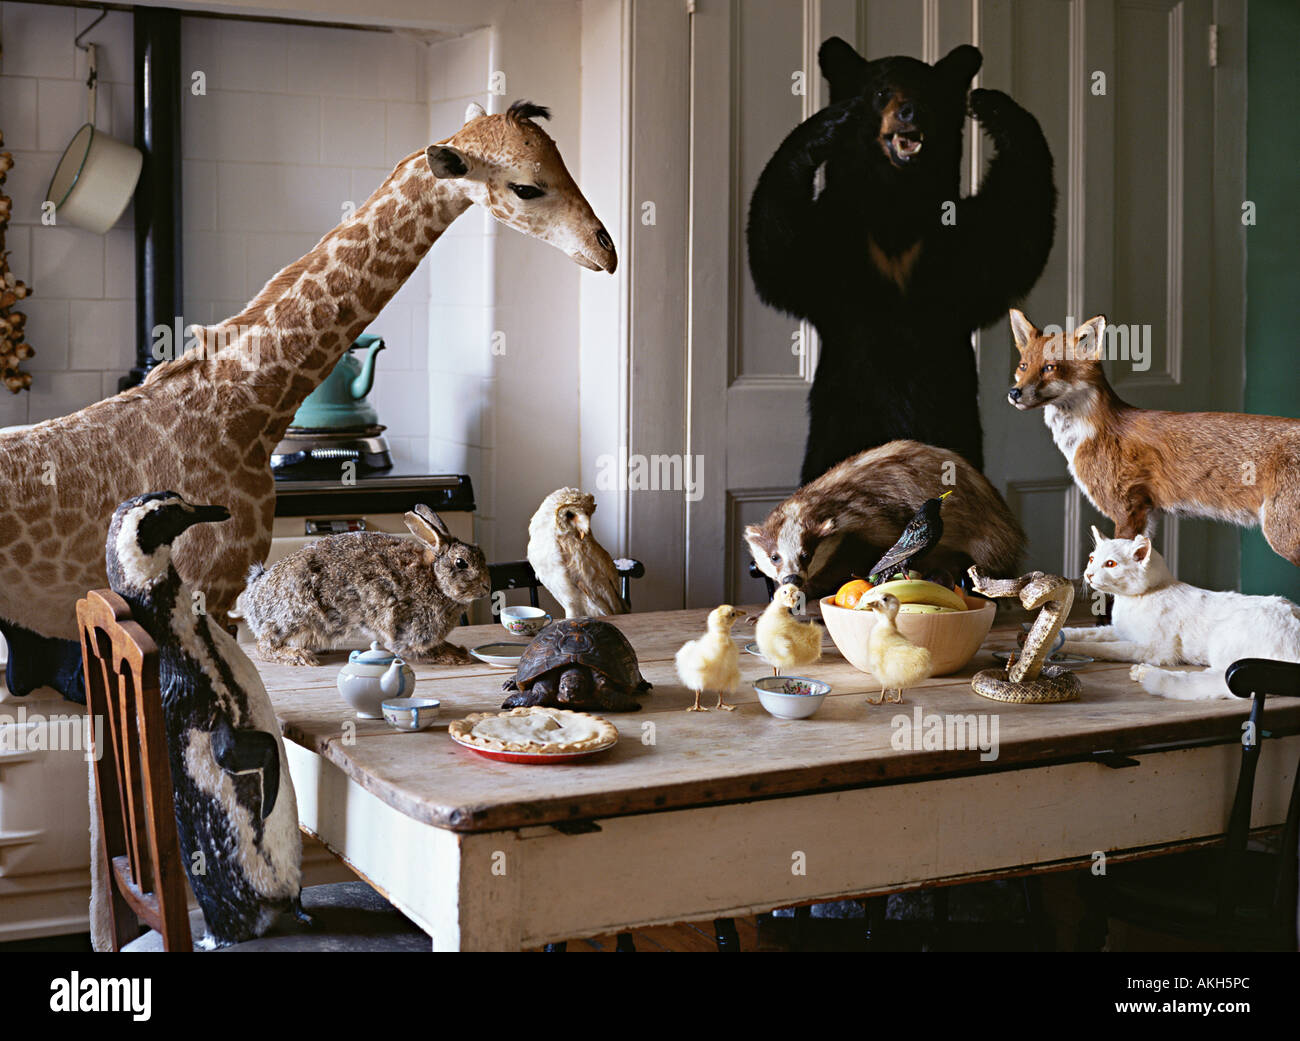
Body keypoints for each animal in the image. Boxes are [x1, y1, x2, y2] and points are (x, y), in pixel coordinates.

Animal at [236, 504, 488, 665]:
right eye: (461, 562)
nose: (486, 588)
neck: (435, 579)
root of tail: (251, 597)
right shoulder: (409, 630)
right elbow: (417, 650)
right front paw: (454, 656)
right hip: (295, 617)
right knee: (264, 647)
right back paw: (299, 656)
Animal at [754, 36, 1055, 483]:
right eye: (881, 93)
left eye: (929, 92)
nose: (911, 109)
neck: (896, 208)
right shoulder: (835, 239)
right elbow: (779, 252)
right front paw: (826, 123)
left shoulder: (957, 238)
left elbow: (1014, 230)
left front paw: (994, 105)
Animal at [1003, 306, 1300, 564]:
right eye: (1023, 366)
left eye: (1049, 368)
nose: (1014, 393)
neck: (1089, 435)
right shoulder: (1148, 513)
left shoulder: (1127, 509)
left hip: (1282, 536)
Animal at [1055, 527, 1300, 696]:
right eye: (1091, 559)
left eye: (1110, 564)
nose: (1088, 574)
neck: (1134, 599)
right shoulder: (1119, 630)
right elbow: (1085, 633)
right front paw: (1057, 637)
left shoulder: (1154, 649)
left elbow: (1101, 647)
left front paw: (1066, 648)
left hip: (1224, 641)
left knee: (1216, 681)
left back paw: (1148, 675)